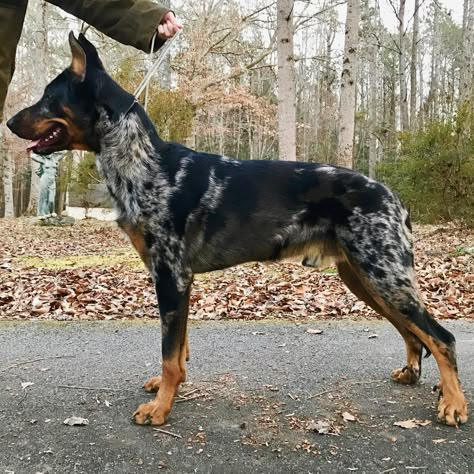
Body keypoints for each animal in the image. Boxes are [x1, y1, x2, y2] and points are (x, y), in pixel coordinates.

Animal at [6, 32, 466, 426]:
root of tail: (393, 196)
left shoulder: (171, 276)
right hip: (365, 279)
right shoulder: (179, 280)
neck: (146, 164)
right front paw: (170, 391)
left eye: (48, 98)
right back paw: (414, 375)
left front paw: (160, 409)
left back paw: (454, 404)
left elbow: (170, 353)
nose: (9, 123)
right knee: (413, 333)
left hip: (383, 275)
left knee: (441, 337)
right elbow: (180, 350)